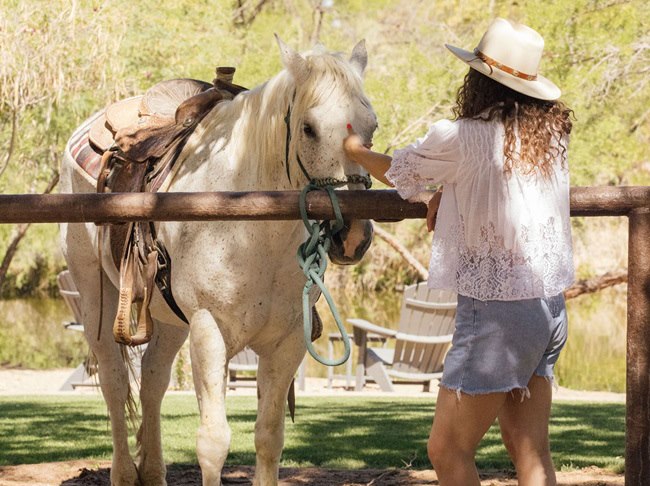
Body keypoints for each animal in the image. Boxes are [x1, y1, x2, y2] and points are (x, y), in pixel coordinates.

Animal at [59, 36, 377, 486]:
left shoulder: (287, 341)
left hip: (171, 319)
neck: (251, 224)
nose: (353, 237)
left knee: (152, 380)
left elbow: (269, 437)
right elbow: (213, 443)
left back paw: (153, 471)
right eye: (309, 128)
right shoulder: (210, 333)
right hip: (95, 298)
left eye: (372, 128)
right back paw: (124, 472)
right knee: (115, 382)